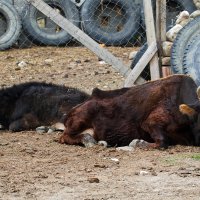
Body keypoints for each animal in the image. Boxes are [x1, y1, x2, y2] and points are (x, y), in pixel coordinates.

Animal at [59, 75, 200, 148]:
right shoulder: (149, 123)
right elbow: (162, 141)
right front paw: (138, 143)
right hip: (81, 119)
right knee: (64, 136)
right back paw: (89, 140)